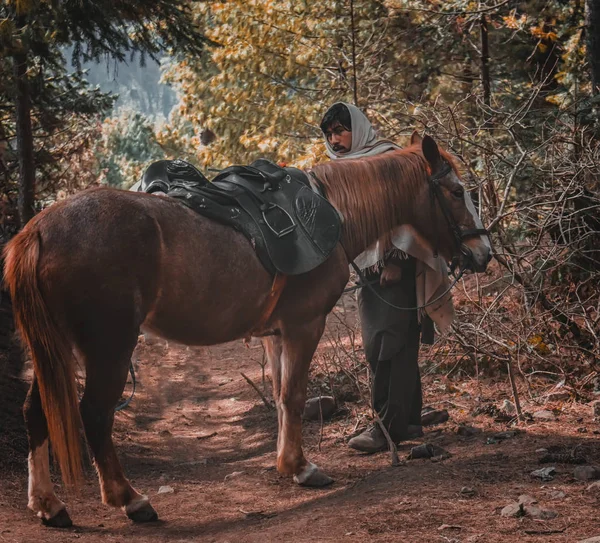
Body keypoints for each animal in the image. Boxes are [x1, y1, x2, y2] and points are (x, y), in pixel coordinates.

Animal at [3, 135, 488, 528]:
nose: (483, 250)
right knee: (95, 414)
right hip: (110, 347)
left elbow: (279, 395)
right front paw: (302, 468)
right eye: (457, 192)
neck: (334, 213)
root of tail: (40, 229)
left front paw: (286, 463)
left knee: (35, 411)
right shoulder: (304, 326)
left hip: (57, 348)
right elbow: (294, 394)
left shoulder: (275, 334)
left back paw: (48, 504)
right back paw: (129, 499)